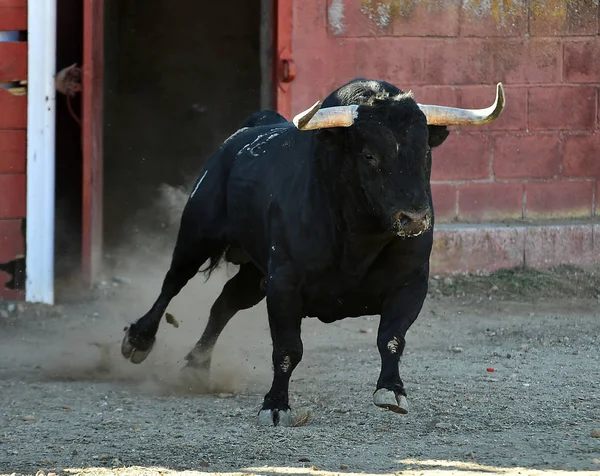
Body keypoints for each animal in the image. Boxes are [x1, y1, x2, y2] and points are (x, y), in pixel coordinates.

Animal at [119, 78, 504, 428]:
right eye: (369, 155)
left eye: (425, 152)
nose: (414, 218)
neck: (360, 237)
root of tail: (241, 136)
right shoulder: (284, 284)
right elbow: (288, 349)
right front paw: (276, 406)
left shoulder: (410, 282)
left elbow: (392, 338)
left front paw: (392, 390)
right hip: (197, 233)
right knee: (173, 282)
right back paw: (138, 341)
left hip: (255, 274)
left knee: (225, 303)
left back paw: (196, 366)